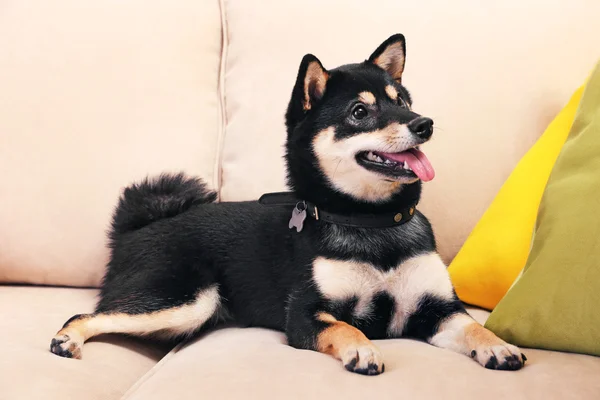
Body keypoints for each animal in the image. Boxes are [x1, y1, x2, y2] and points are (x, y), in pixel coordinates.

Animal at [52, 34, 528, 376]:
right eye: (359, 112)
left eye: (405, 102)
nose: (424, 123)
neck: (371, 221)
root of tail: (135, 230)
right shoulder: (304, 315)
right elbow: (344, 325)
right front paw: (362, 350)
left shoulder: (436, 310)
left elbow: (472, 325)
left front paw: (499, 345)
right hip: (184, 301)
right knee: (86, 313)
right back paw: (67, 338)